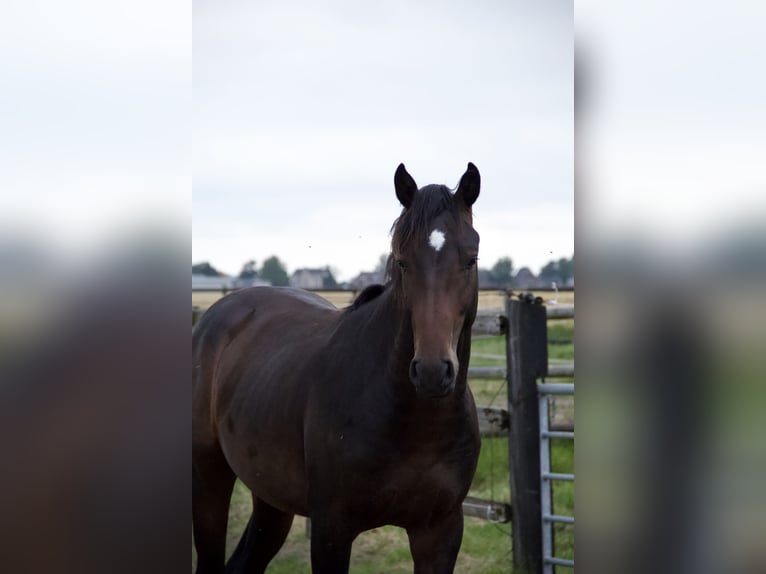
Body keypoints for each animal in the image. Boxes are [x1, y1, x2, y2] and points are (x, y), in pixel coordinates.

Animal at [192, 163, 482, 573]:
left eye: (470, 259)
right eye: (402, 261)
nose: (430, 372)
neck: (416, 425)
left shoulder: (440, 532)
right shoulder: (332, 529)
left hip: (271, 498)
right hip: (208, 478)